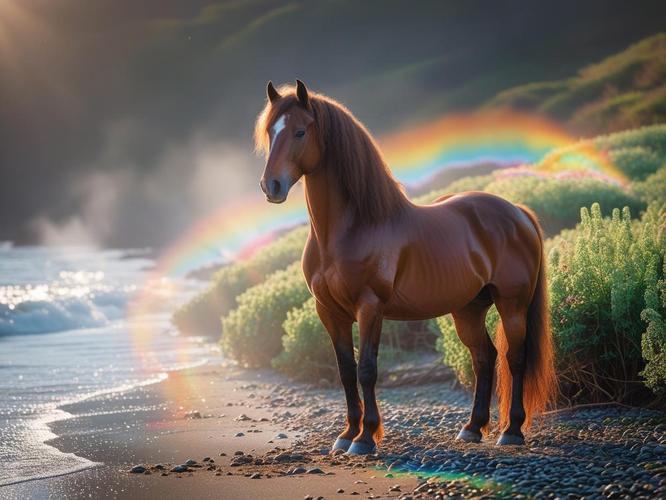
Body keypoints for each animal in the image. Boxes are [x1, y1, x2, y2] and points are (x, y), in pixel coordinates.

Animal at [256, 80, 557, 455]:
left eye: (299, 131)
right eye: (271, 131)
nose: (271, 186)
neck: (352, 228)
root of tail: (518, 212)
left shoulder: (370, 307)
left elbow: (367, 369)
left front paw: (365, 438)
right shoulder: (329, 311)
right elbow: (345, 370)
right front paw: (346, 434)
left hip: (512, 305)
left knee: (515, 358)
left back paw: (512, 430)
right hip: (468, 309)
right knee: (484, 357)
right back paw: (472, 427)